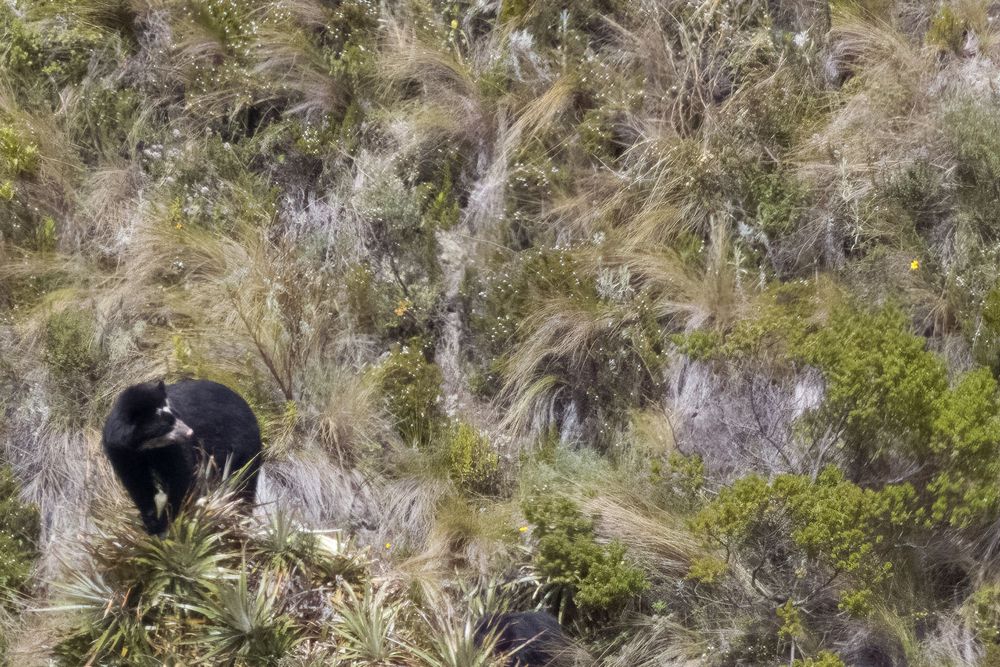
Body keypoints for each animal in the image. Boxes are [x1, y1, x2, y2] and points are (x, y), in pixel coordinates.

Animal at [102, 379, 262, 535]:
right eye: (165, 425)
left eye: (176, 415)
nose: (190, 433)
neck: (146, 448)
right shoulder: (122, 453)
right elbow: (137, 483)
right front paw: (152, 523)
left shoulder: (173, 449)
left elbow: (180, 474)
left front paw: (168, 521)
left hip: (241, 447)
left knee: (243, 484)